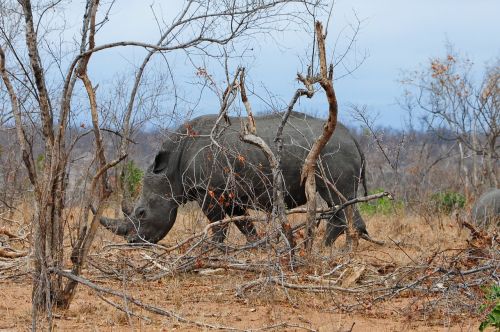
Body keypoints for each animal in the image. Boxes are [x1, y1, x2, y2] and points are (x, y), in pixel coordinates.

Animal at [99, 113, 370, 245]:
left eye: (142, 213)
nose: (133, 241)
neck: (170, 170)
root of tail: (353, 138)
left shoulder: (208, 191)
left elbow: (218, 225)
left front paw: (212, 251)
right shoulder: (229, 193)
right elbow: (244, 225)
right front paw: (257, 247)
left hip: (332, 154)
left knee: (338, 199)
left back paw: (326, 251)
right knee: (341, 202)